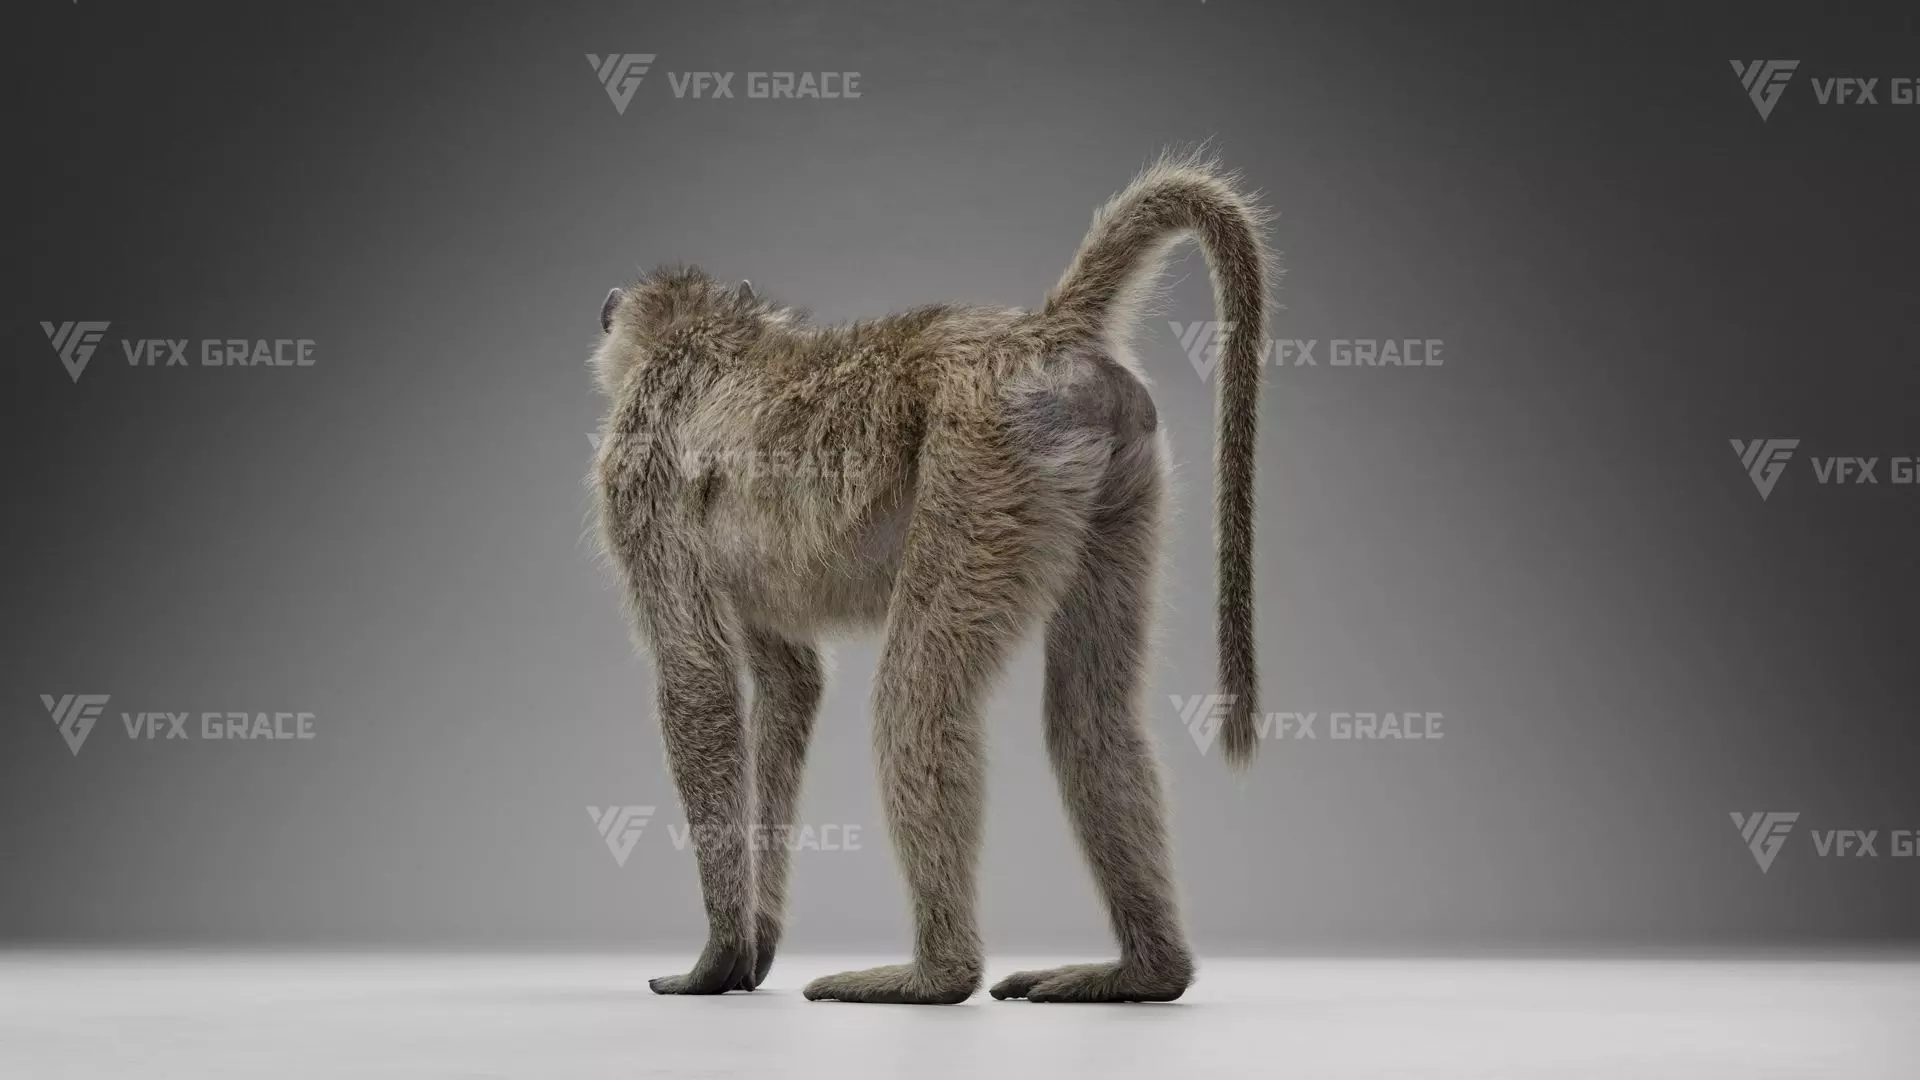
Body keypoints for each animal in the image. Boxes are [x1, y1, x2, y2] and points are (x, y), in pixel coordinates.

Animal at [589, 151, 1270, 1004]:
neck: (704, 341)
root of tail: (1042, 332)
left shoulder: (635, 479)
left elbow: (696, 680)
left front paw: (714, 961)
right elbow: (790, 684)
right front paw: (755, 948)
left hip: (984, 457)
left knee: (915, 697)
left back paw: (935, 976)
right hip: (1116, 478)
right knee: (1091, 715)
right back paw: (1144, 973)